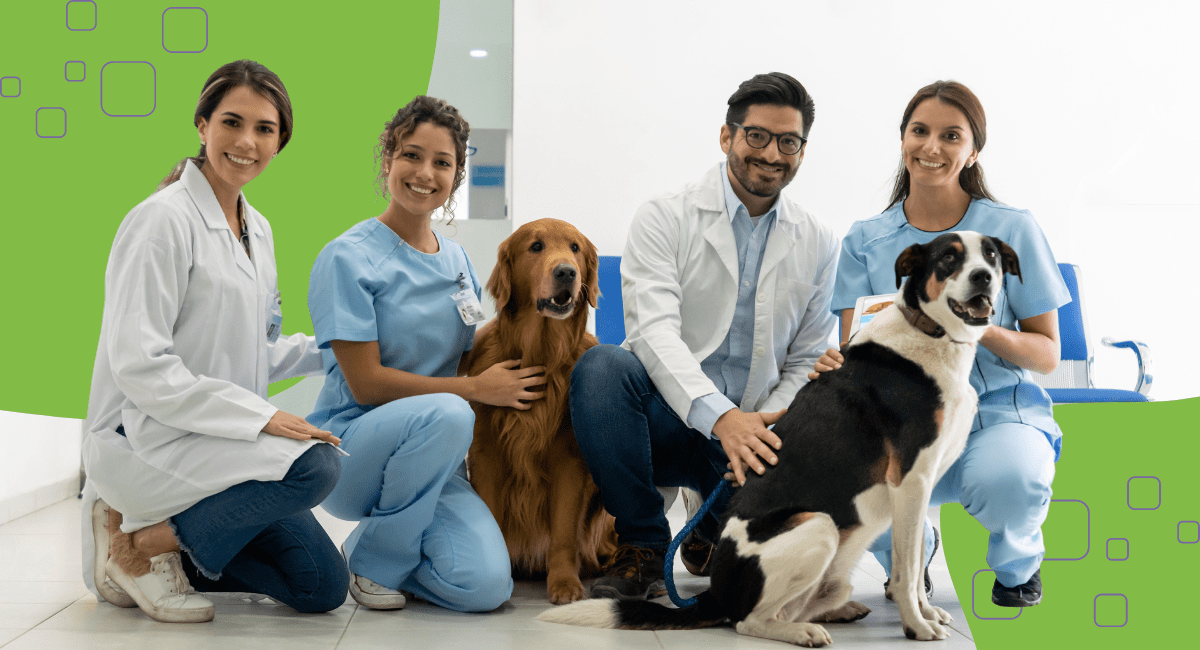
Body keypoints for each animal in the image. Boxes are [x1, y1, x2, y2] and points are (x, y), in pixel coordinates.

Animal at [544, 232, 1022, 647]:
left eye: (991, 256)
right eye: (948, 258)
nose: (983, 276)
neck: (928, 332)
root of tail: (715, 592)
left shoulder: (919, 486)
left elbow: (916, 560)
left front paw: (927, 613)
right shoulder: (910, 481)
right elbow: (907, 572)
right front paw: (917, 626)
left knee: (795, 604)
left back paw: (836, 610)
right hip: (819, 526)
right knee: (748, 621)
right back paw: (802, 632)